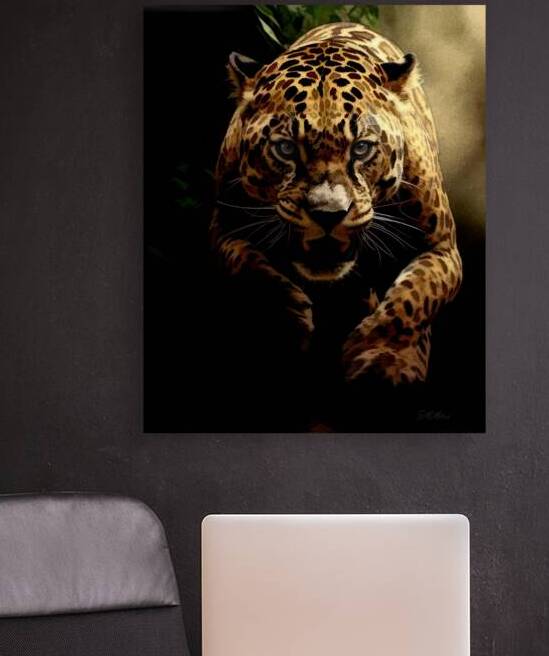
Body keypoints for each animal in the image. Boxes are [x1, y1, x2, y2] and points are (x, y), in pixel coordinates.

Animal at [210, 22, 462, 386]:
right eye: (286, 149)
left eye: (361, 148)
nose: (328, 215)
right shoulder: (223, 231)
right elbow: (250, 268)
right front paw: (291, 321)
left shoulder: (442, 248)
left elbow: (413, 298)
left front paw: (378, 354)